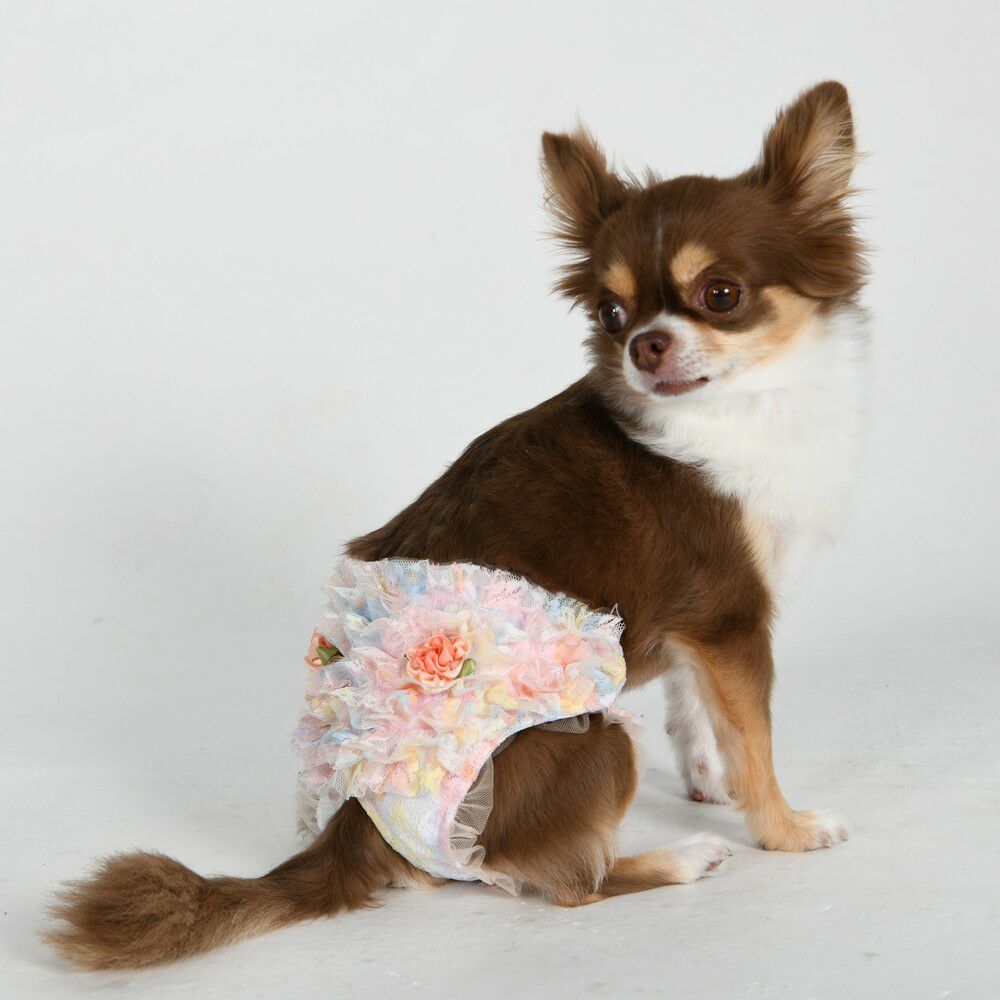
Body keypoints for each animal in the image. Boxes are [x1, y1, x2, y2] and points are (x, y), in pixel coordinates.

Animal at [47, 80, 868, 969]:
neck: (746, 407)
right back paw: (681, 859)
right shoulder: (730, 617)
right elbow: (757, 739)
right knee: (563, 883)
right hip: (593, 737)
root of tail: (352, 822)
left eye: (722, 295)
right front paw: (784, 828)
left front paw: (705, 781)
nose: (645, 345)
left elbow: (699, 712)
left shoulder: (703, 627)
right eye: (611, 314)